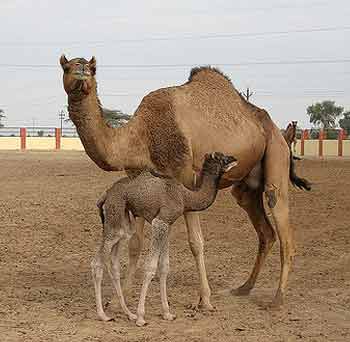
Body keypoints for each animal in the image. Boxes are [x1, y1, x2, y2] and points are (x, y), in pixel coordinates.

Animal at [60, 55, 312, 308]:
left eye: (92, 68)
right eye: (66, 66)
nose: (82, 69)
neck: (142, 135)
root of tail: (278, 131)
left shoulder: (187, 178)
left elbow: (195, 243)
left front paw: (205, 300)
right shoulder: (138, 180)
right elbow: (135, 244)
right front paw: (118, 298)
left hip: (276, 154)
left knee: (282, 223)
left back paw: (277, 298)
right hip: (247, 186)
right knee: (265, 231)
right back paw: (243, 288)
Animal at [90, 152, 238, 326]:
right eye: (222, 158)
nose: (235, 159)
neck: (185, 196)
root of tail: (105, 194)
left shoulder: (168, 225)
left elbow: (164, 267)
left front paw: (167, 313)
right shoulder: (160, 221)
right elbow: (150, 267)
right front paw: (141, 317)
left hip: (123, 222)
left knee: (114, 264)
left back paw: (128, 314)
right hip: (115, 216)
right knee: (97, 263)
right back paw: (103, 315)